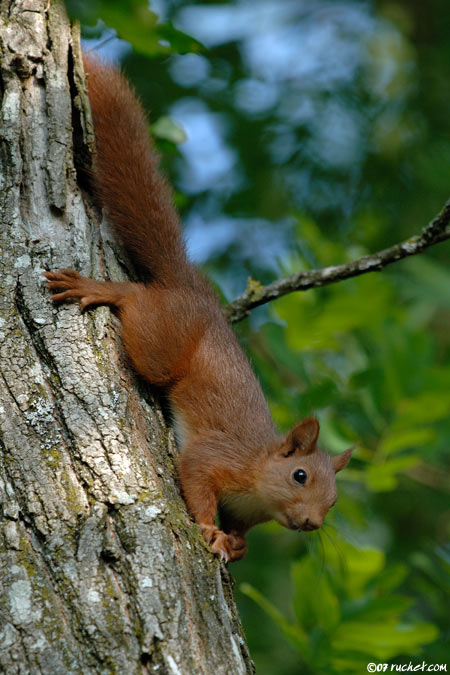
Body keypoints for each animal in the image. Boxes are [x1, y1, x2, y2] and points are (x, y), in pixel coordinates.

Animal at [43, 54, 352, 563]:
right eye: (299, 475)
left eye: (334, 501)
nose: (310, 523)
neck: (257, 475)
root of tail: (191, 288)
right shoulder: (217, 457)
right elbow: (195, 476)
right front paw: (209, 529)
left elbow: (241, 532)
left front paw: (236, 545)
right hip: (161, 344)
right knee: (139, 305)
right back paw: (108, 291)